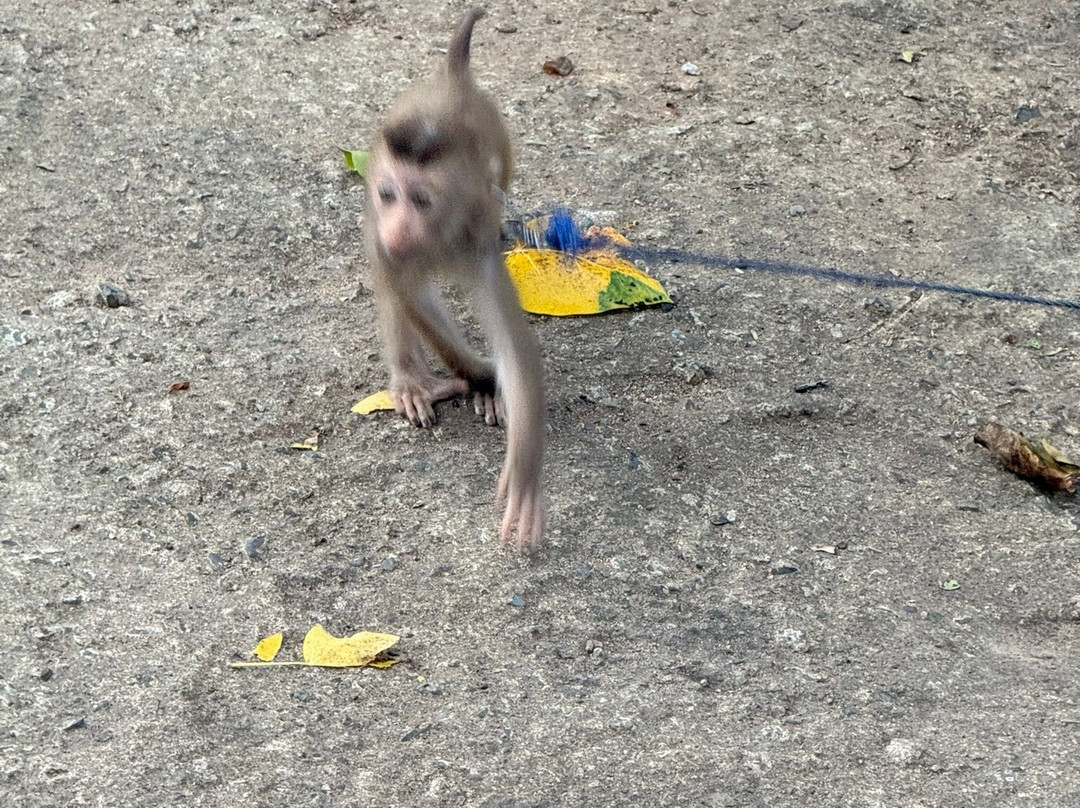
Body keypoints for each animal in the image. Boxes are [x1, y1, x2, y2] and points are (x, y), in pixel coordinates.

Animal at [363, 9, 546, 550]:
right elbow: (409, 296)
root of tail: (452, 82)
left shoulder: (478, 243)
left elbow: (515, 346)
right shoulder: (384, 239)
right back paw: (410, 379)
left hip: (498, 142)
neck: (437, 239)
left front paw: (522, 472)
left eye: (421, 200)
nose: (398, 225)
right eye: (387, 194)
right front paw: (479, 375)